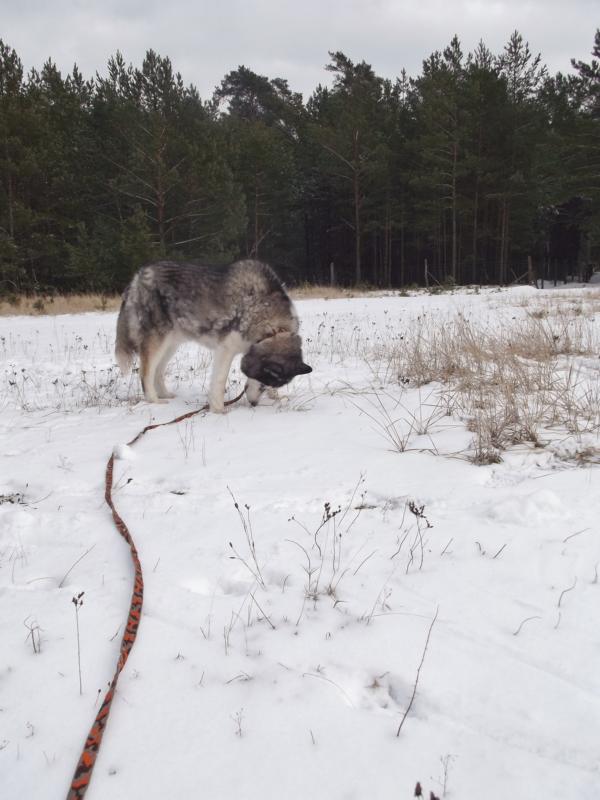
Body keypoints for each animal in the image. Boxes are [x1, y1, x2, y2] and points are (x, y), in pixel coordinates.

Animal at [115, 259, 312, 412]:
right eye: (262, 381)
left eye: (266, 384)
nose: (254, 404)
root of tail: (139, 275)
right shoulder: (226, 349)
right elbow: (219, 381)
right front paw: (218, 411)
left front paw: (275, 397)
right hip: (157, 340)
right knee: (145, 372)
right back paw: (154, 401)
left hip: (171, 343)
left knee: (158, 370)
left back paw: (165, 395)